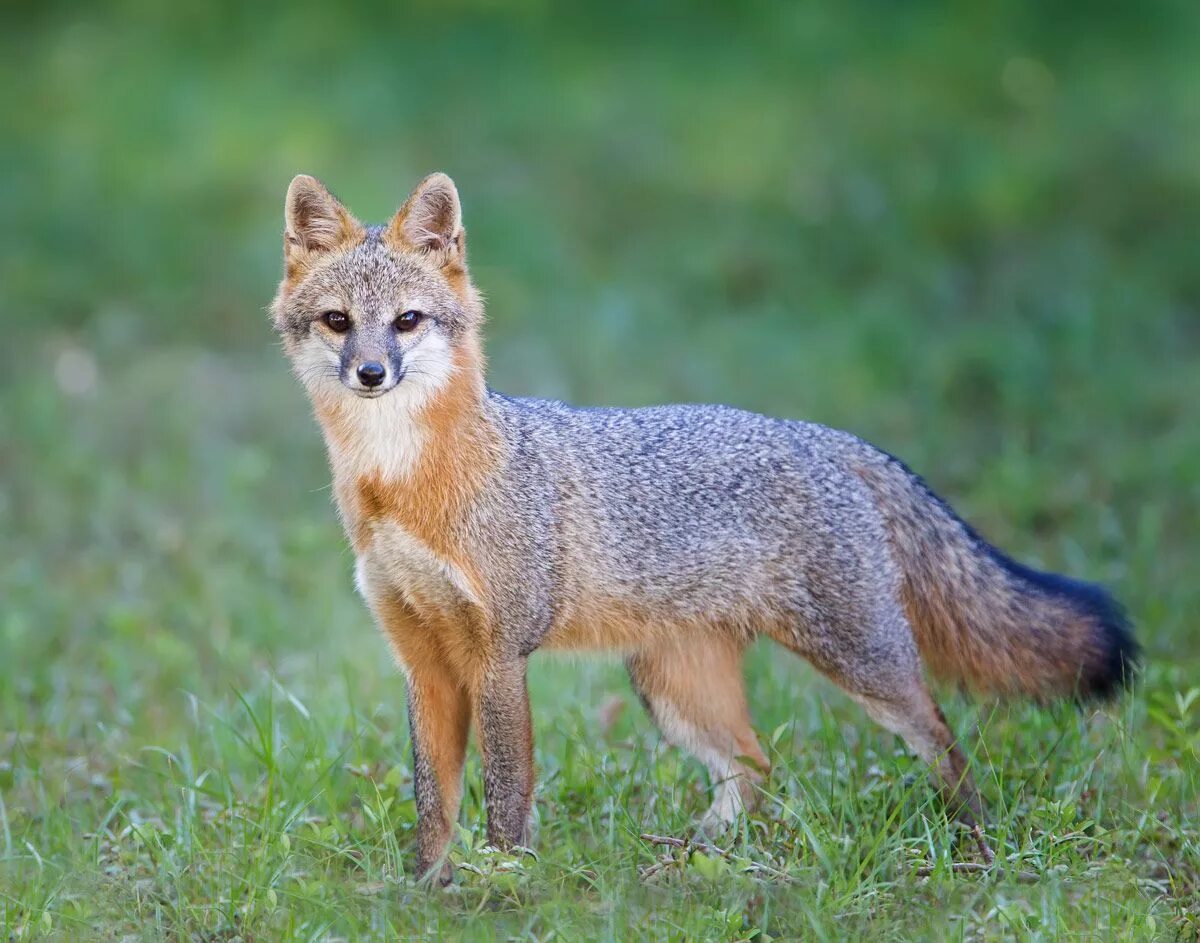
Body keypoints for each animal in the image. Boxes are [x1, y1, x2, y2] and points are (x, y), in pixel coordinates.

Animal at [267, 170, 1137, 883]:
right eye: (339, 322)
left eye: (407, 321)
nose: (371, 372)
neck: (399, 485)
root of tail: (825, 436)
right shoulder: (424, 659)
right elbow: (432, 801)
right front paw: (427, 890)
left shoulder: (498, 653)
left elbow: (507, 794)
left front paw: (501, 884)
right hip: (673, 690)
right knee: (755, 768)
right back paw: (690, 860)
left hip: (863, 664)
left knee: (944, 739)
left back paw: (975, 844)